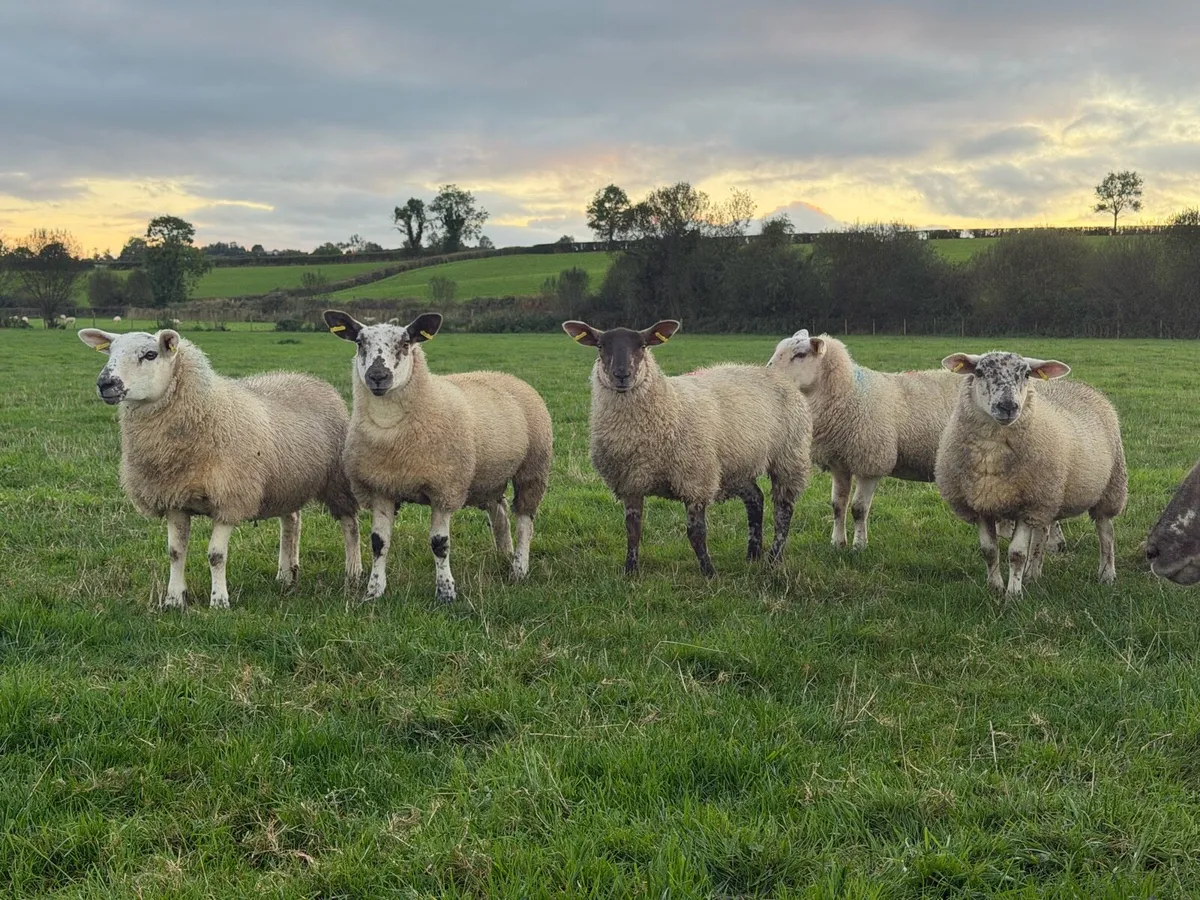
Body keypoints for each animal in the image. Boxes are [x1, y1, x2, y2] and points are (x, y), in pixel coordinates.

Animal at [77, 327, 361, 609]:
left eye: (149, 354)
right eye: (110, 352)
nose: (105, 384)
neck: (206, 409)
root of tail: (309, 379)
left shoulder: (230, 499)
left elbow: (216, 555)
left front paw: (219, 601)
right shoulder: (174, 499)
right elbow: (175, 552)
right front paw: (173, 599)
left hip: (336, 481)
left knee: (350, 524)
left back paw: (353, 573)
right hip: (286, 482)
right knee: (291, 522)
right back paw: (286, 574)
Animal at [324, 309, 553, 603]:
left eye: (406, 343)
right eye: (360, 342)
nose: (377, 376)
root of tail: (504, 375)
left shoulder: (445, 488)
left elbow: (439, 544)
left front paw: (446, 592)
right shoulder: (380, 488)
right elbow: (378, 543)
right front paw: (373, 592)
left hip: (533, 467)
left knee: (524, 520)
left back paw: (519, 568)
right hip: (487, 476)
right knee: (499, 512)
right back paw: (505, 555)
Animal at [564, 319, 811, 576]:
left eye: (642, 346)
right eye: (600, 346)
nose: (622, 375)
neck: (668, 406)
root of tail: (772, 373)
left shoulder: (695, 480)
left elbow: (696, 533)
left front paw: (709, 572)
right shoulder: (631, 482)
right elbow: (633, 530)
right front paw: (630, 571)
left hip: (789, 456)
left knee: (783, 509)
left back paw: (773, 557)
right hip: (734, 464)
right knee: (755, 499)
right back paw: (752, 554)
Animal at [767, 329, 1065, 552]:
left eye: (800, 354)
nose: (767, 373)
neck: (851, 393)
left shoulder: (872, 461)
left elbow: (859, 509)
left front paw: (859, 546)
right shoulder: (840, 462)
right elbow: (837, 506)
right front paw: (837, 543)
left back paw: (1054, 543)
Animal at [934, 351, 1127, 597]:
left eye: (1026, 374)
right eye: (979, 372)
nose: (1008, 406)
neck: (991, 453)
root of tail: (1081, 385)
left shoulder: (1028, 505)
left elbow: (1017, 553)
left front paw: (1013, 595)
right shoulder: (982, 505)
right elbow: (989, 550)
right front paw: (995, 587)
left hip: (1110, 487)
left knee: (1106, 531)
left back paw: (1106, 574)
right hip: (1049, 497)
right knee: (1041, 535)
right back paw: (1032, 574)